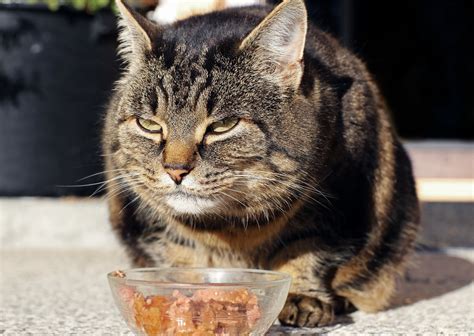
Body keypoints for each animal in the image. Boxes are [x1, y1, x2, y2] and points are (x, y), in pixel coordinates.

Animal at [103, 0, 418, 326]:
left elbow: (307, 248)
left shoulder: (340, 200)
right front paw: (186, 291)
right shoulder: (147, 218)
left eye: (223, 125)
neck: (230, 227)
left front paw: (302, 295)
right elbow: (178, 252)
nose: (175, 170)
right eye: (149, 125)